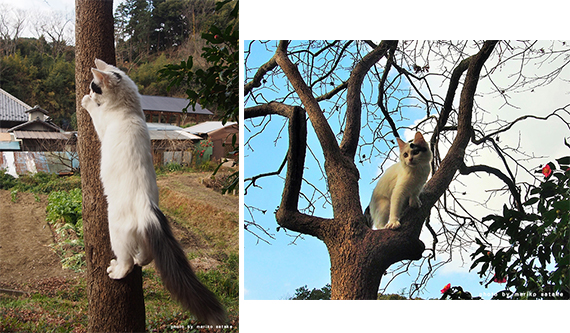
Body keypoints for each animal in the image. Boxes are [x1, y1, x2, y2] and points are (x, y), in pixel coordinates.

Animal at [80, 58, 226, 322]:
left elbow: (95, 114)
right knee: (146, 256)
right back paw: (140, 259)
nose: (89, 91)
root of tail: (149, 211)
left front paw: (87, 101)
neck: (130, 112)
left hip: (116, 232)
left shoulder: (102, 127)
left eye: (94, 87)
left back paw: (116, 270)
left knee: (127, 261)